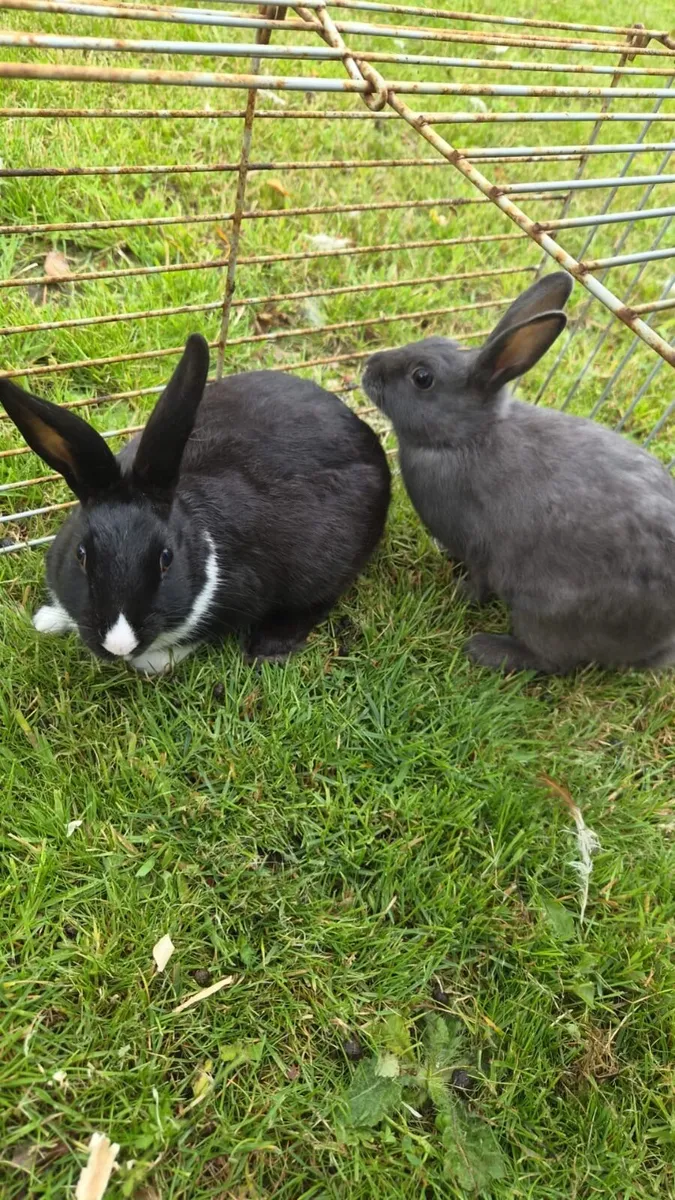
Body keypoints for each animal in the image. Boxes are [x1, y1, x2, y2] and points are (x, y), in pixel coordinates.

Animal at [0, 335, 390, 674]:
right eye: (81, 554)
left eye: (166, 559)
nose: (120, 646)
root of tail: (366, 437)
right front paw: (48, 620)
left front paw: (153, 662)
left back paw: (269, 647)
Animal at [362, 272, 675, 675]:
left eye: (422, 377)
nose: (369, 366)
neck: (467, 437)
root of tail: (662, 643)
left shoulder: (480, 548)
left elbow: (480, 582)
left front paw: (459, 593)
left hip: (546, 612)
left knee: (552, 659)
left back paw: (486, 649)